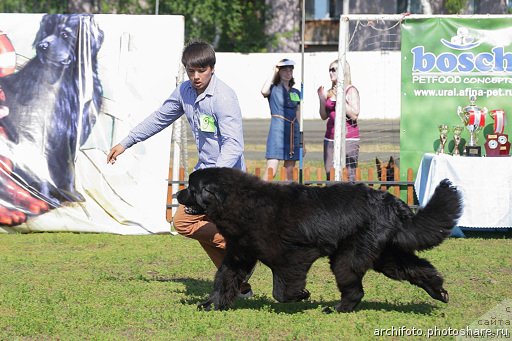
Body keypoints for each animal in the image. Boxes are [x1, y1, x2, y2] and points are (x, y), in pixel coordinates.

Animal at [0, 13, 103, 205]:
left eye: (65, 34)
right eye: (45, 31)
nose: (42, 46)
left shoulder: (74, 135)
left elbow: (69, 170)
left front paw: (70, 193)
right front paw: (46, 197)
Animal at [177, 166, 464, 312]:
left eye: (191, 187)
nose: (177, 194)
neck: (241, 202)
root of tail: (392, 203)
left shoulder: (292, 258)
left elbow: (281, 291)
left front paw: (301, 295)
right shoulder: (239, 255)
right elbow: (223, 279)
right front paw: (210, 304)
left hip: (348, 258)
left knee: (356, 290)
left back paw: (336, 309)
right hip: (385, 256)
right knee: (418, 269)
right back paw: (440, 292)